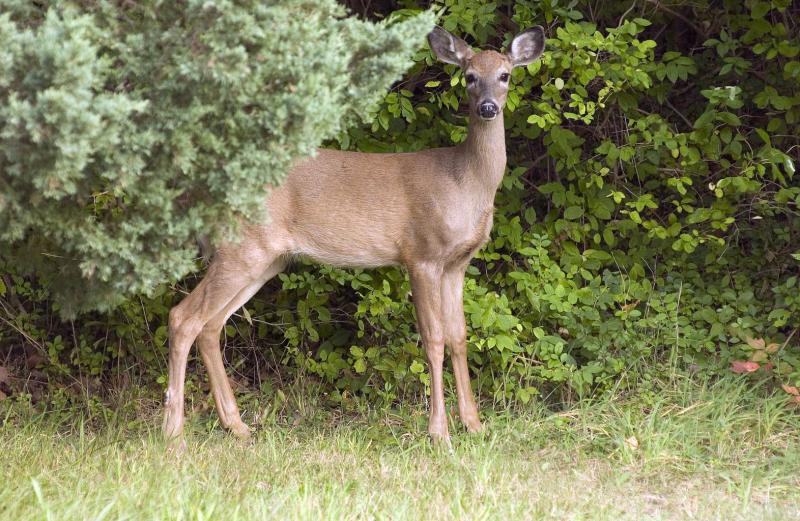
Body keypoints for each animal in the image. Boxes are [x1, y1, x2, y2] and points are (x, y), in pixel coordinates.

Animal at [162, 25, 545, 447]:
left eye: (505, 75)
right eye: (470, 76)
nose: (488, 107)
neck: (465, 183)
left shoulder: (457, 264)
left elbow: (459, 338)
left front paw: (474, 425)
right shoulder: (422, 254)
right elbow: (434, 340)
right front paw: (439, 433)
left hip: (264, 259)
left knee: (211, 326)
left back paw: (237, 426)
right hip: (242, 249)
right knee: (183, 318)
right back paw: (173, 434)